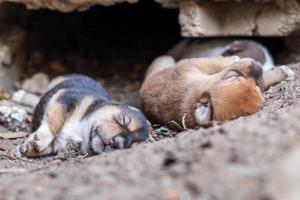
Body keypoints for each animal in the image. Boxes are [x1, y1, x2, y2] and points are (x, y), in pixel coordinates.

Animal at [16, 74, 150, 157]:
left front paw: (27, 148)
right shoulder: (66, 98)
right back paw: (21, 95)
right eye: (123, 120)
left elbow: (49, 147)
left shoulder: (62, 143)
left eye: (129, 145)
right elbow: (54, 121)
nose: (115, 144)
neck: (84, 128)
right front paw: (42, 139)